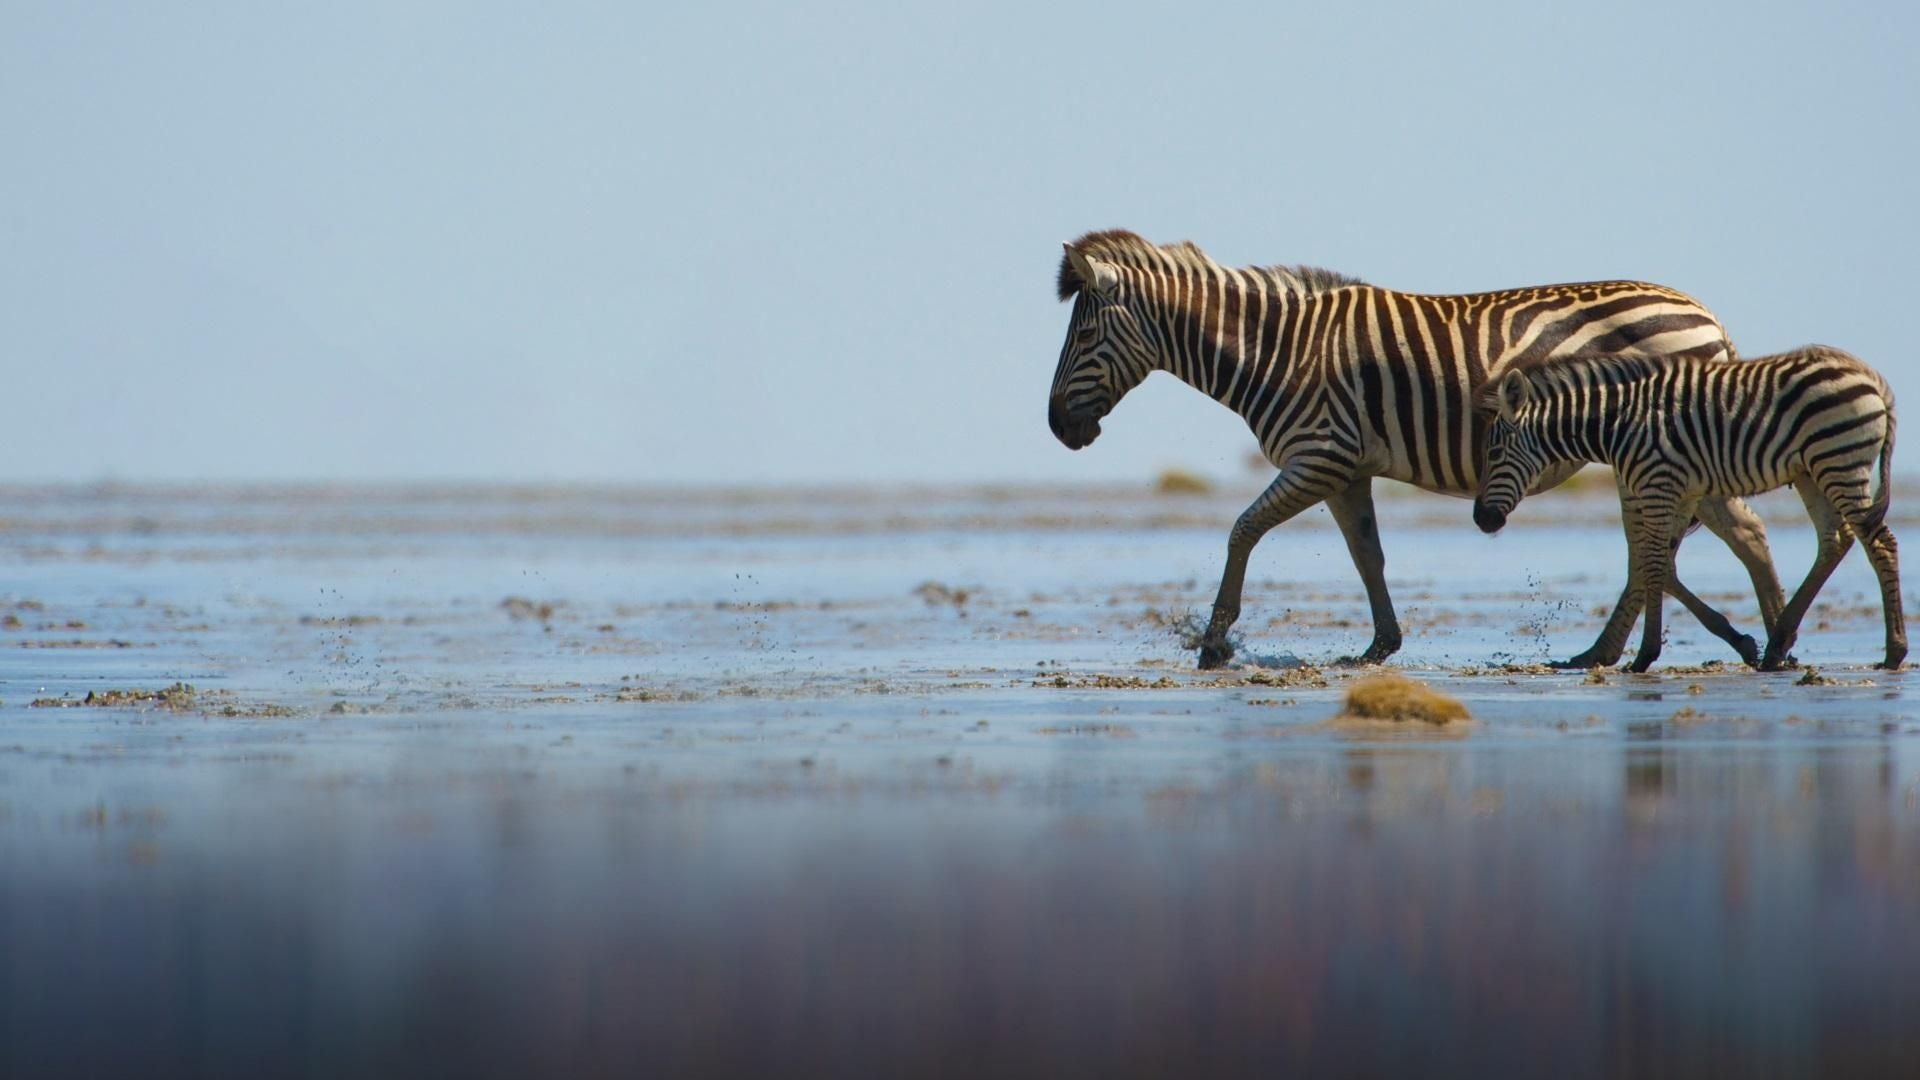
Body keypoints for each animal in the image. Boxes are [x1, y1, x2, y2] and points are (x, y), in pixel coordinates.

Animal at [1046, 229, 1787, 669]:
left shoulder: (1319, 455)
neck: (1275, 352)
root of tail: (1705, 314)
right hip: (1678, 456)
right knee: (1721, 534)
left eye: (1081, 338)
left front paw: (1213, 644)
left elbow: (1242, 531)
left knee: (1687, 539)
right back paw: (1752, 641)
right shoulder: (1345, 470)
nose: (1057, 428)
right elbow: (1366, 554)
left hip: (1665, 449)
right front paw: (1379, 646)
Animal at [1471, 345, 1904, 672]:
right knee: (1836, 539)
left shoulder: (1659, 487)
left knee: (1880, 543)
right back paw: (1777, 646)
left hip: (1838, 460)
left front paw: (1645, 657)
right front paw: (1741, 642)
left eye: (1493, 453)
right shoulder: (1678, 491)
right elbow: (1659, 564)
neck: (1616, 424)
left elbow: (1652, 564)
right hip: (1813, 470)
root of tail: (1875, 381)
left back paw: (1894, 652)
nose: (1481, 519)